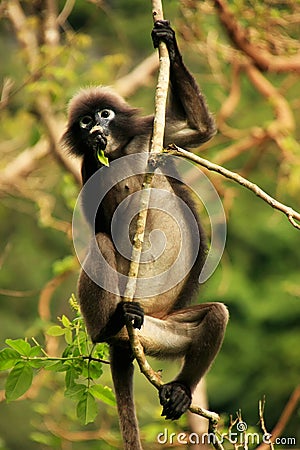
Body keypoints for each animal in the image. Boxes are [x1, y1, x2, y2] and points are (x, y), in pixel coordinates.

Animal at [62, 20, 227, 450]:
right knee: (102, 246)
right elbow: (100, 229)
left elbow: (200, 129)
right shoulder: (89, 168)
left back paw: (181, 390)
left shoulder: (148, 133)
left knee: (216, 315)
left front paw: (167, 38)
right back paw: (107, 326)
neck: (119, 151)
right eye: (84, 122)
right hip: (135, 324)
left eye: (105, 113)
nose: (98, 130)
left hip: (162, 326)